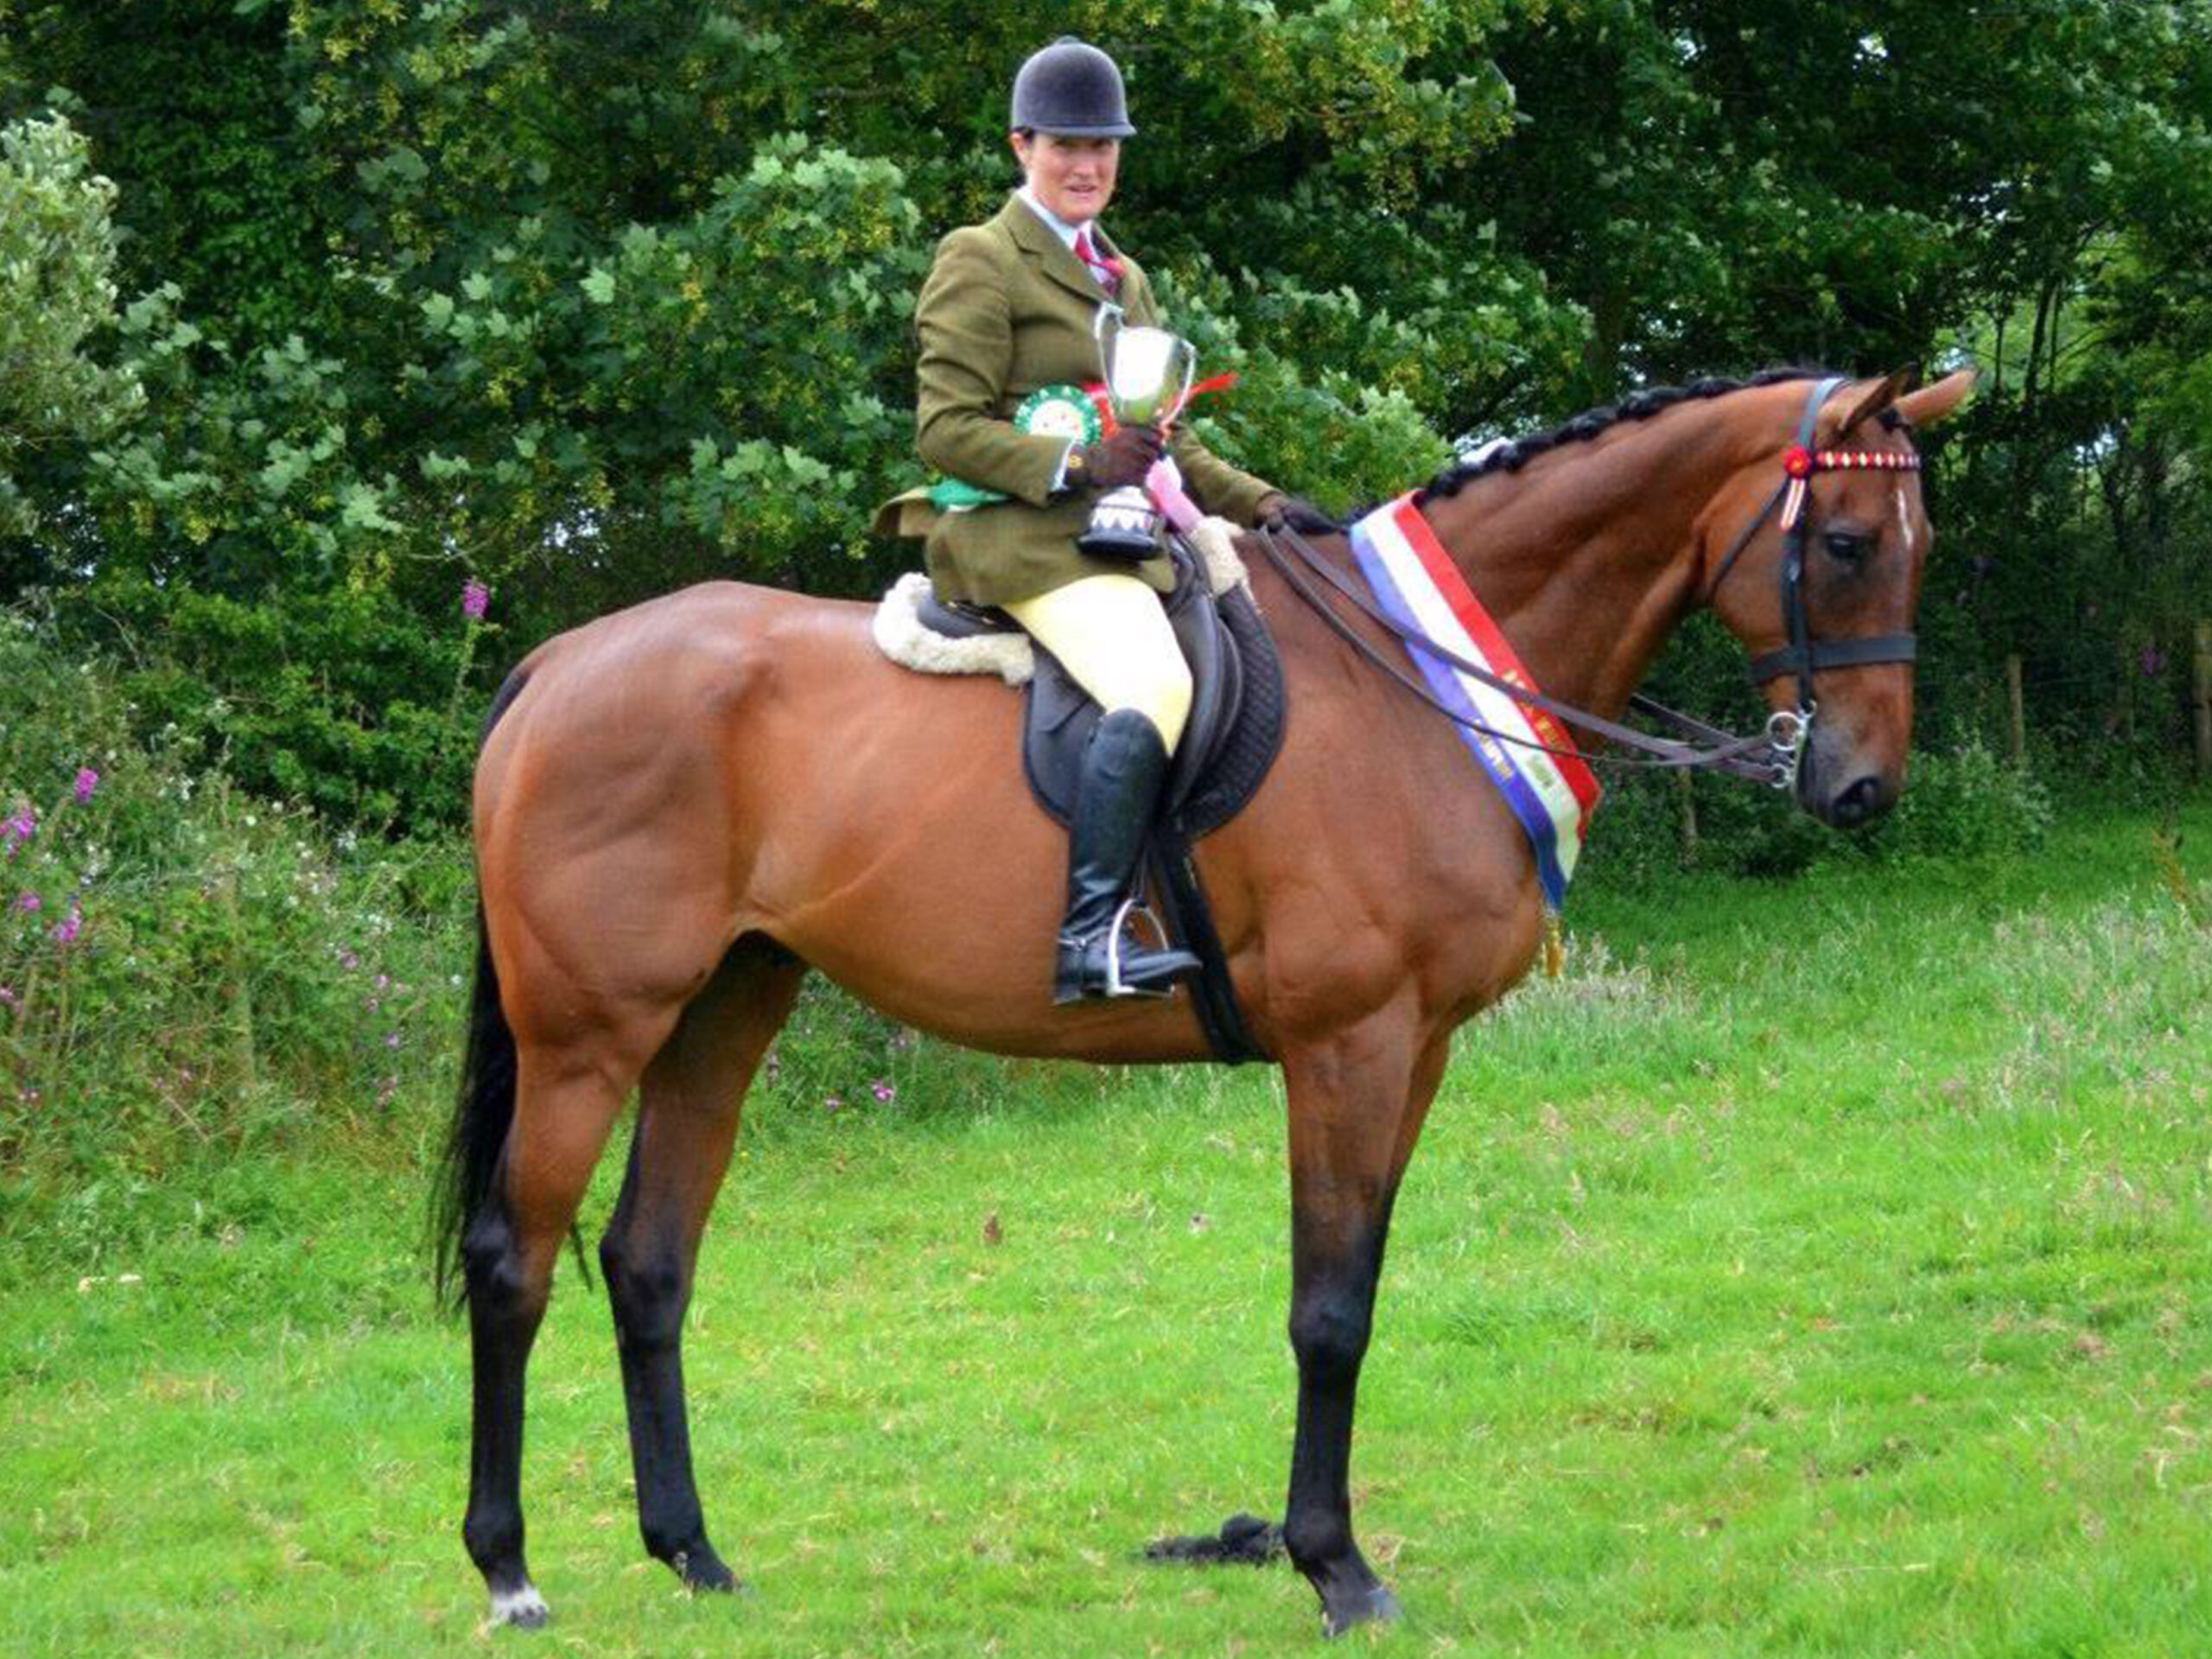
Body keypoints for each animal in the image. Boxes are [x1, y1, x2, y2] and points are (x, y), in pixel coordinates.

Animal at [431, 360, 1973, 1637]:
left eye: (1918, 552)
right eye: (1845, 546)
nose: (1859, 787)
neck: (1413, 682)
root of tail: (557, 664)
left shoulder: (1415, 1053)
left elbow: (1358, 1287)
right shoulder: (1349, 1046)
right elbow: (1327, 1311)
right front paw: (1334, 1568)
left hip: (726, 1008)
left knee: (649, 1262)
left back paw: (692, 1554)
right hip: (589, 1035)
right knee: (516, 1261)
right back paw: (508, 1570)